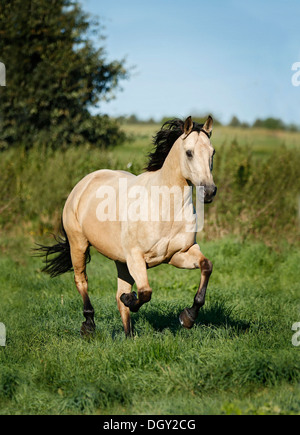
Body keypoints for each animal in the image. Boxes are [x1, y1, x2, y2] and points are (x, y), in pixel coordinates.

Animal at [36, 116, 217, 338]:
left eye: (212, 152)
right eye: (189, 152)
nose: (209, 191)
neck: (164, 207)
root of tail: (83, 183)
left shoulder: (178, 254)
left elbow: (206, 266)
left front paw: (187, 318)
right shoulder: (136, 257)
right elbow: (145, 292)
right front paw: (131, 299)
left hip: (120, 260)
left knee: (118, 296)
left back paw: (129, 336)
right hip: (78, 244)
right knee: (81, 281)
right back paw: (89, 325)